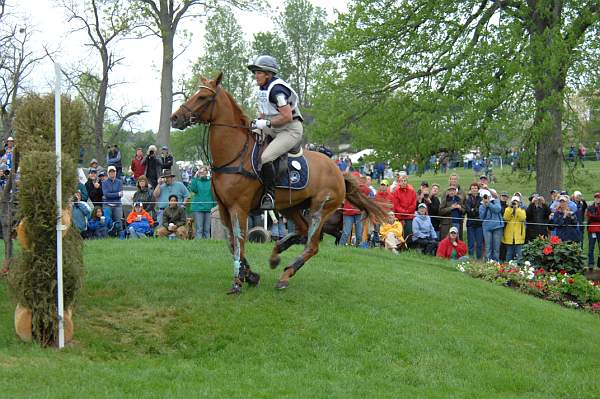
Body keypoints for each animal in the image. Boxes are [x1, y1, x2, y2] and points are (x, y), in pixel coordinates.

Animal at [171, 73, 384, 294]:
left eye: (203, 97)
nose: (175, 118)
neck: (234, 155)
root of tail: (338, 171)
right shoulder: (223, 208)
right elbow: (231, 244)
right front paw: (251, 276)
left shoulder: (239, 208)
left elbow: (239, 243)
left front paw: (237, 283)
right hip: (290, 207)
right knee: (302, 231)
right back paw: (276, 254)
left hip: (320, 210)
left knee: (312, 245)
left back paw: (285, 276)